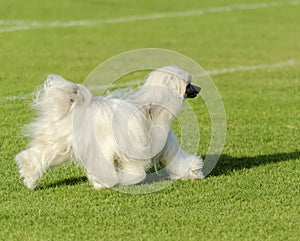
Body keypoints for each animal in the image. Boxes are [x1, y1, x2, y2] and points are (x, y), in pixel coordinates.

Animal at [15, 66, 204, 190]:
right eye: (188, 84)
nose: (200, 88)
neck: (151, 108)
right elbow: (137, 172)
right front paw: (123, 179)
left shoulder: (165, 145)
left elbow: (178, 159)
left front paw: (193, 173)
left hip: (58, 144)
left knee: (36, 157)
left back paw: (29, 178)